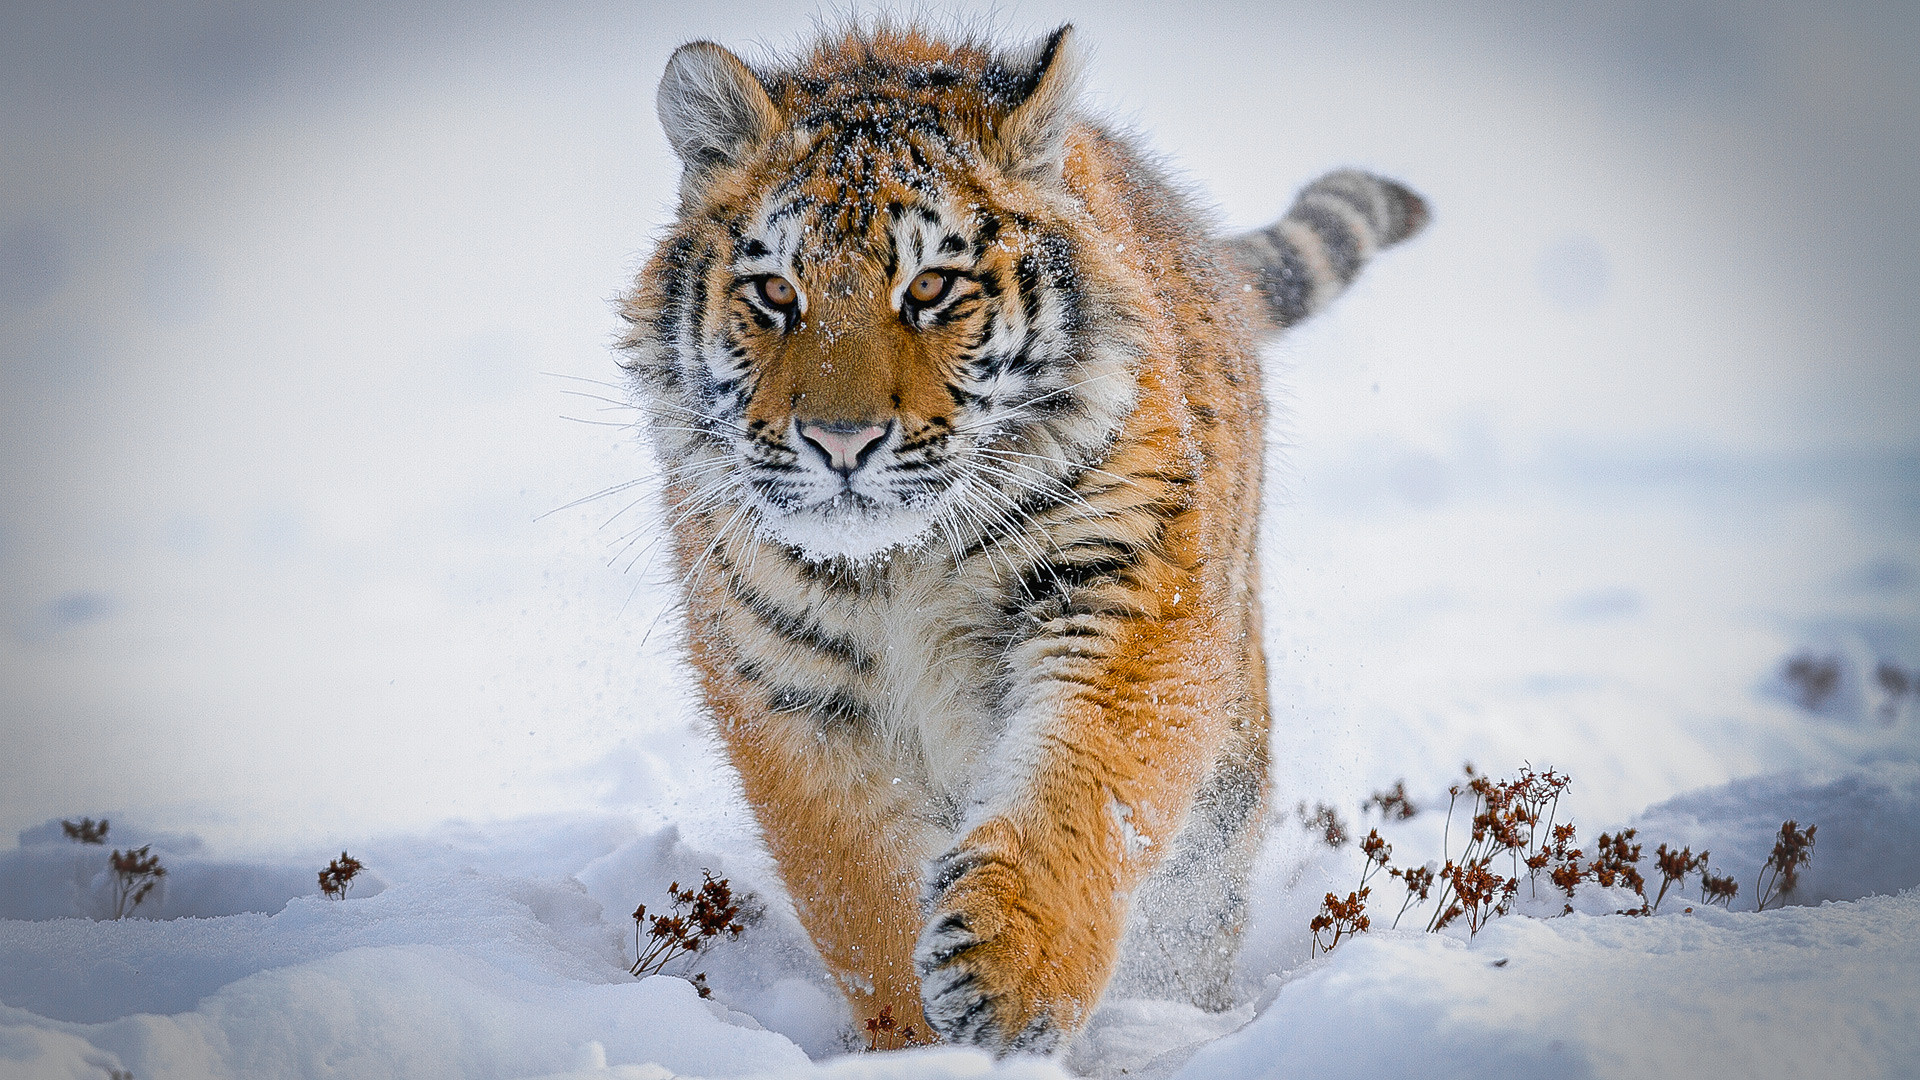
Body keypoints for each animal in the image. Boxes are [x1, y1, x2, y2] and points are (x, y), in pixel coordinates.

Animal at [614, 21, 1428, 1045]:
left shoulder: (1124, 589)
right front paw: (917, 1044)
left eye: (930, 287)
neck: (900, 561)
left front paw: (1011, 976)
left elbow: (1079, 787)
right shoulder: (789, 686)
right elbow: (858, 887)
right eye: (774, 292)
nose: (840, 441)